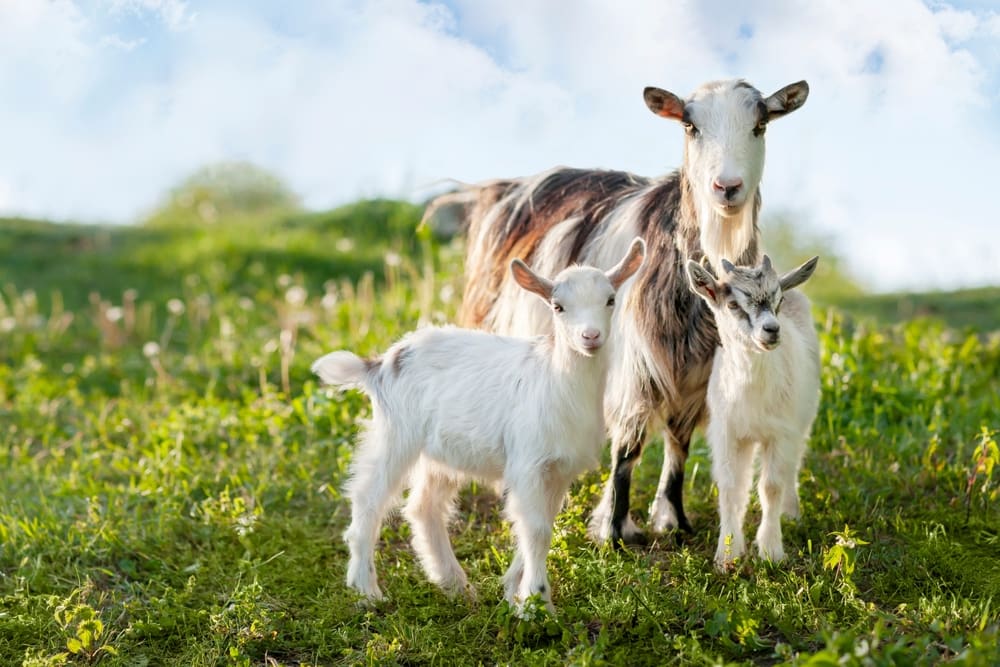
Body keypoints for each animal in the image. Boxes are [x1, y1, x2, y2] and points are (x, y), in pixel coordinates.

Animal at [312, 239, 646, 612]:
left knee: (424, 507)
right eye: (558, 306)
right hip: (396, 435)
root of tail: (379, 364)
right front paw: (537, 604)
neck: (555, 380)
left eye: (610, 300)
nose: (590, 336)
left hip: (441, 453)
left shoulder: (560, 470)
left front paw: (514, 592)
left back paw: (454, 583)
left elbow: (538, 525)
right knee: (369, 498)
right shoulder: (528, 463)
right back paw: (366, 591)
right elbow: (537, 530)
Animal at [423, 78, 809, 544]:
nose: (727, 186)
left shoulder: (696, 371)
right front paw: (614, 529)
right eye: (690, 126)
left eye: (761, 124)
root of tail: (499, 188)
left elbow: (678, 443)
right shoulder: (634, 365)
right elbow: (628, 446)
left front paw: (674, 519)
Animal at [686, 255, 820, 568]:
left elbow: (771, 486)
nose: (772, 329)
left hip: (801, 423)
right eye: (732, 304)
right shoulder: (727, 433)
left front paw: (771, 551)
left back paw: (791, 513)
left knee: (791, 468)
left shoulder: (781, 433)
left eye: (778, 300)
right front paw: (727, 553)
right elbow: (730, 486)